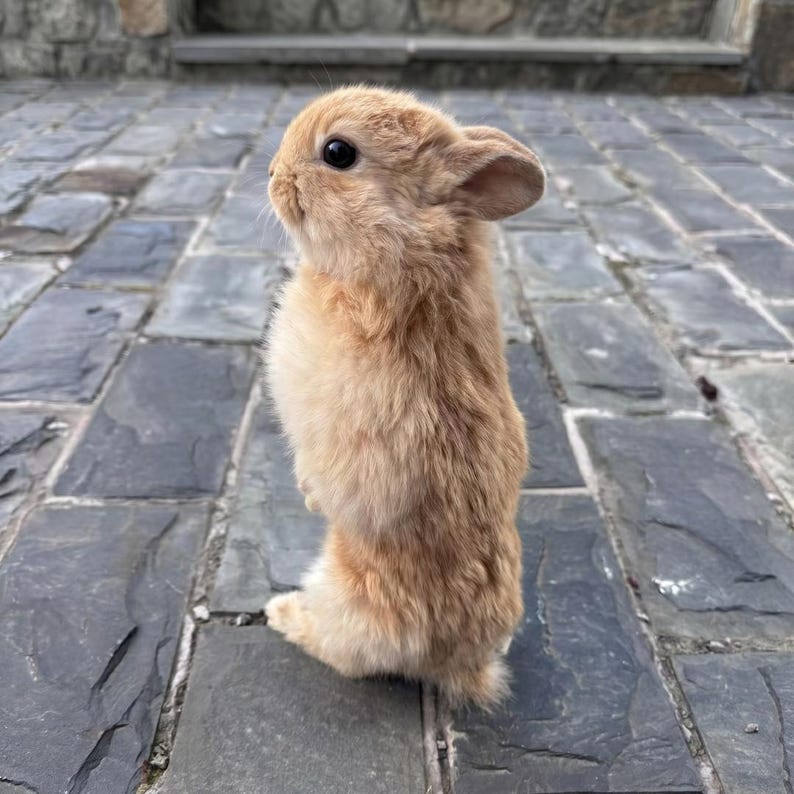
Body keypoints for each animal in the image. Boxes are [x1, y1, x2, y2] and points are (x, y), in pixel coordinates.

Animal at [263, 86, 545, 708]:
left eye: (338, 152)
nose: (272, 174)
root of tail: (460, 665)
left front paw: (309, 497)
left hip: (345, 597)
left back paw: (282, 611)